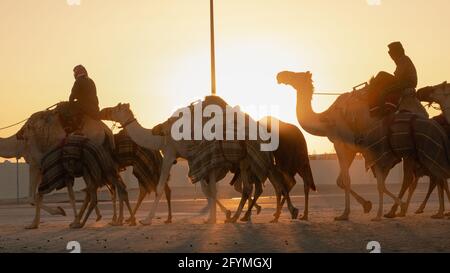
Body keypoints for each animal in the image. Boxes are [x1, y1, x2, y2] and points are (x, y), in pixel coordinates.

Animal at [274, 71, 446, 220]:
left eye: (297, 75)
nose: (281, 75)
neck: (326, 120)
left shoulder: (342, 144)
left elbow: (350, 180)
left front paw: (345, 214)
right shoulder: (352, 149)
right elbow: (341, 181)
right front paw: (366, 206)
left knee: (419, 175)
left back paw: (404, 209)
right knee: (416, 176)